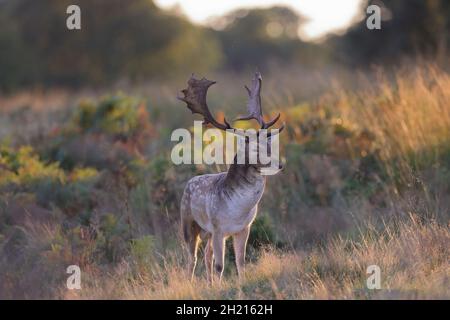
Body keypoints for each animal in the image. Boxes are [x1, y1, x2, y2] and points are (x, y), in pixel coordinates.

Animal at [178, 71, 284, 282]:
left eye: (269, 145)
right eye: (254, 149)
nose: (280, 164)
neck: (237, 211)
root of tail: (189, 183)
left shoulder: (244, 228)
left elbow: (240, 262)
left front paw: (239, 283)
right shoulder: (218, 228)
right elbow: (220, 265)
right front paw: (220, 285)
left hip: (208, 232)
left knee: (206, 255)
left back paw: (209, 283)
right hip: (189, 224)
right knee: (192, 258)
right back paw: (191, 282)